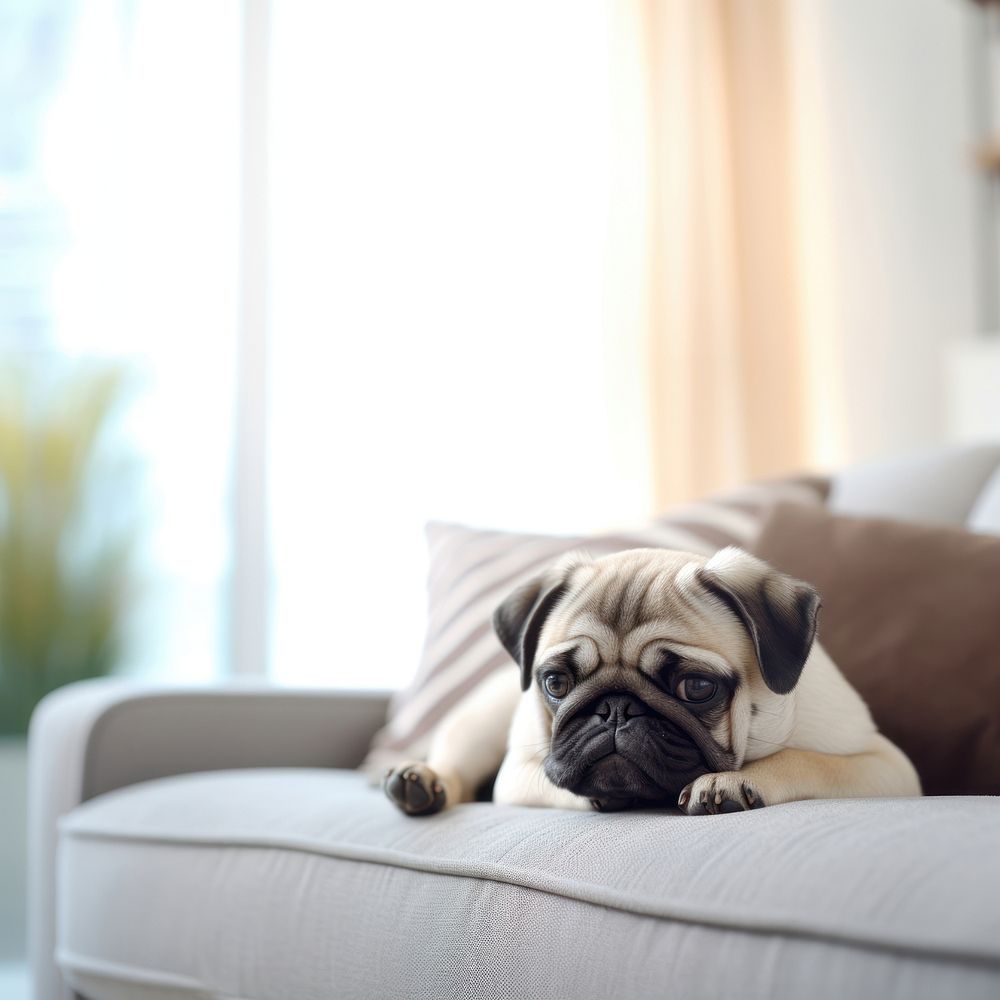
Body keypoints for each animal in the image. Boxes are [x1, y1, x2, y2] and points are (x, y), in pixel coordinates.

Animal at [384, 552, 920, 816]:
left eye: (696, 688)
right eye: (556, 682)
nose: (616, 709)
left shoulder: (886, 767)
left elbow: (804, 759)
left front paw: (729, 782)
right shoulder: (518, 772)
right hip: (478, 725)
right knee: (454, 764)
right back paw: (421, 783)